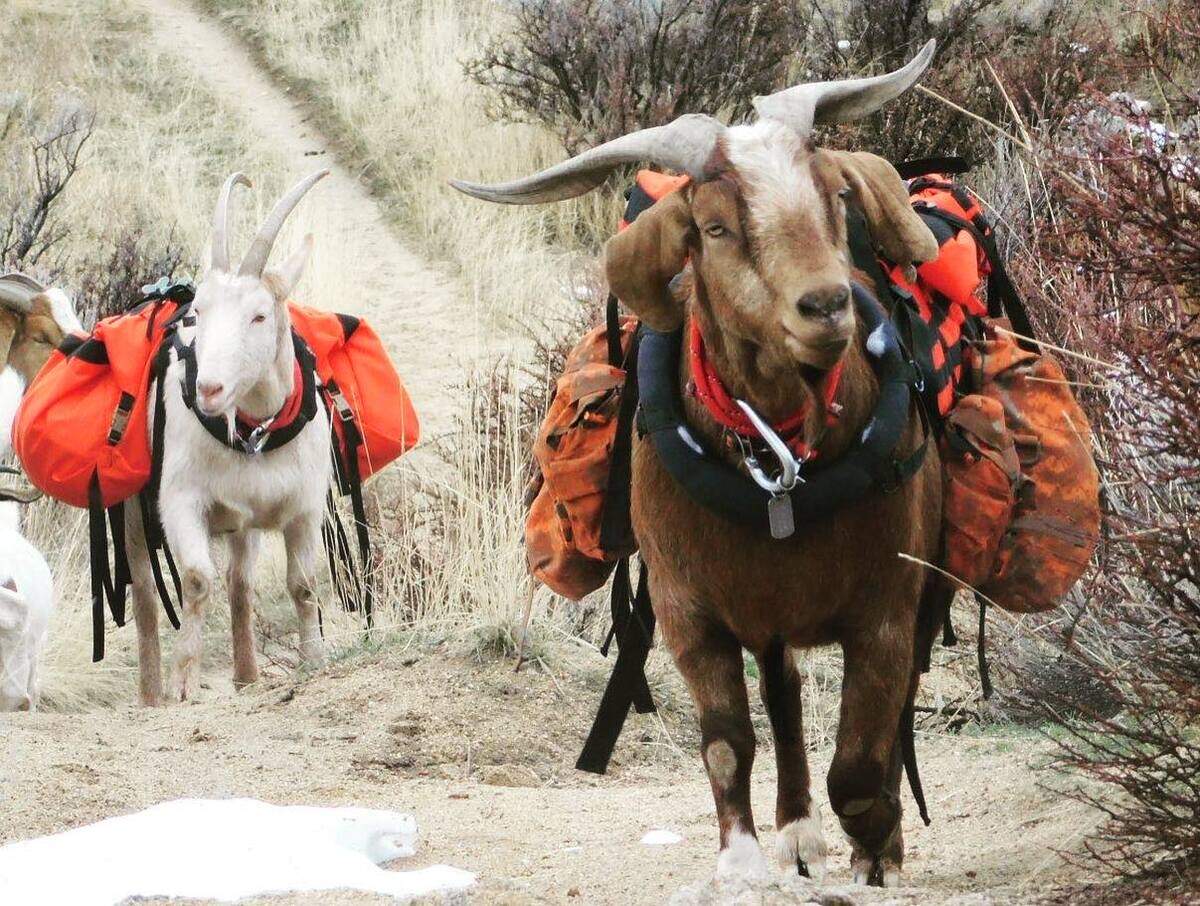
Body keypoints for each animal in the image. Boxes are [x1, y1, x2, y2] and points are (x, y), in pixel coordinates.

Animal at [126, 170, 332, 705]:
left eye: (259, 315)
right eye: (199, 310)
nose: (209, 389)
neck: (253, 434)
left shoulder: (305, 507)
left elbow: (304, 585)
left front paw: (315, 661)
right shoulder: (180, 499)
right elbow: (198, 580)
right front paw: (182, 683)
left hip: (245, 523)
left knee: (241, 582)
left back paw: (246, 675)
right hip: (131, 507)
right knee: (143, 592)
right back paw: (151, 693)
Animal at [453, 44, 945, 886]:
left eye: (832, 198)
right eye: (715, 227)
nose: (825, 307)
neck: (779, 471)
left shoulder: (886, 606)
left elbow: (860, 760)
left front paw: (877, 845)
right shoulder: (689, 609)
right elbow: (724, 741)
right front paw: (743, 860)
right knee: (781, 696)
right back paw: (796, 835)